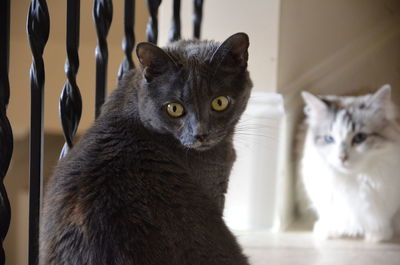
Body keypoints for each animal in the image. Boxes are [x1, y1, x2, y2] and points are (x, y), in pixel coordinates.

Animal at [298, 85, 400, 241]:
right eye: (329, 139)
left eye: (359, 137)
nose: (342, 158)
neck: (352, 179)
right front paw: (327, 232)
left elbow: (383, 221)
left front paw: (378, 236)